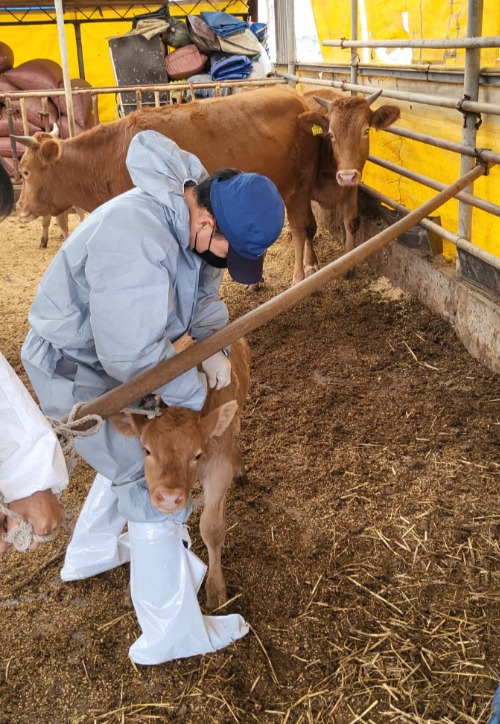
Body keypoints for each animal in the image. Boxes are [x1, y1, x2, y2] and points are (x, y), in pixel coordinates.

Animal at [109, 338, 250, 612]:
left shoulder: (219, 468)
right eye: (147, 450)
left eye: (196, 454)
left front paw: (216, 590)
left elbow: (212, 528)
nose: (169, 496)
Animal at [298, 87, 400, 274]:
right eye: (331, 134)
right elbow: (308, 226)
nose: (346, 176)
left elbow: (351, 222)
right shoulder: (303, 192)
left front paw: (348, 263)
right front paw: (310, 263)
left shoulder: (352, 185)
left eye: (366, 131)